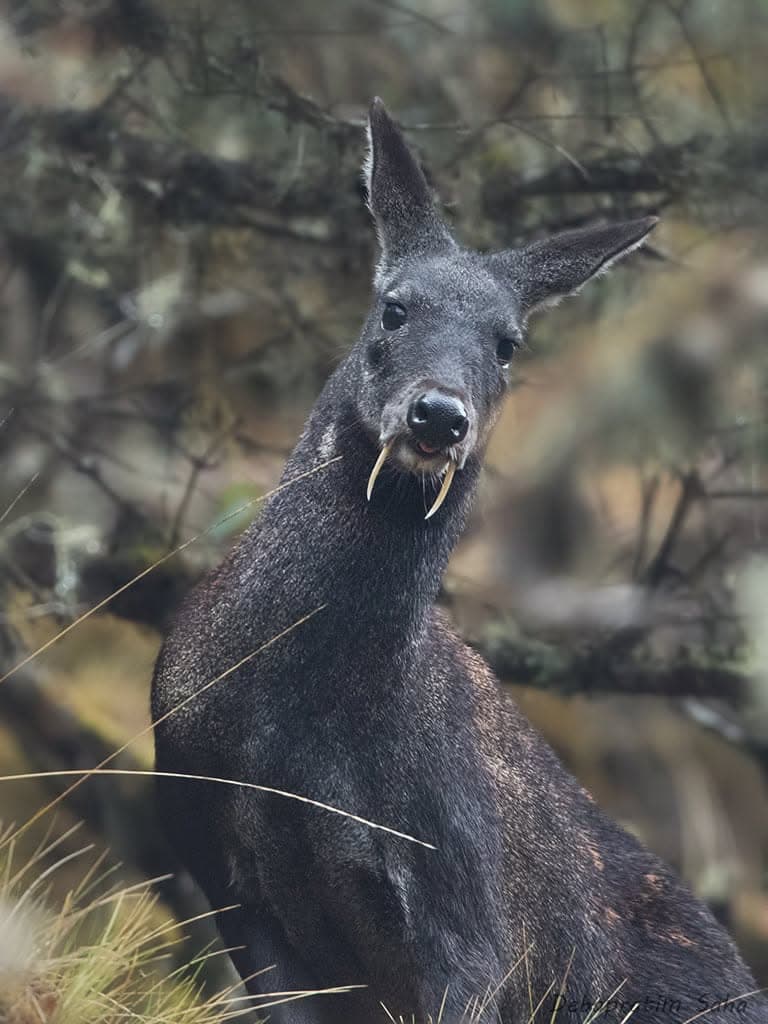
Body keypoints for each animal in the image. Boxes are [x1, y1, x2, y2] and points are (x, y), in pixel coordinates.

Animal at [151, 100, 766, 1024]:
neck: (292, 729)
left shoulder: (465, 930)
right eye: (394, 308)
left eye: (508, 343)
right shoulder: (225, 872)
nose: (439, 415)